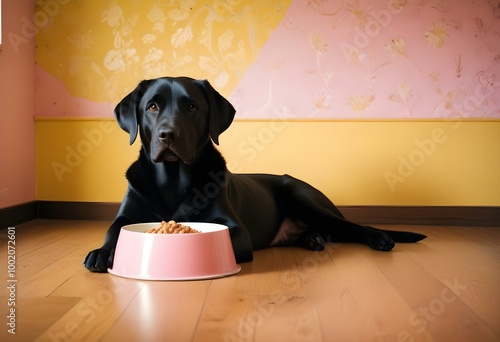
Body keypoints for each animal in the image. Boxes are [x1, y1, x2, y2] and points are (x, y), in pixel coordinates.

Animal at [83, 77, 426, 272]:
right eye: (152, 107)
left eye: (192, 107)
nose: (168, 135)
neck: (173, 180)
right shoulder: (126, 216)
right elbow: (113, 231)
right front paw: (102, 252)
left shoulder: (235, 230)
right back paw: (311, 238)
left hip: (302, 197)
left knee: (352, 226)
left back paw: (378, 237)